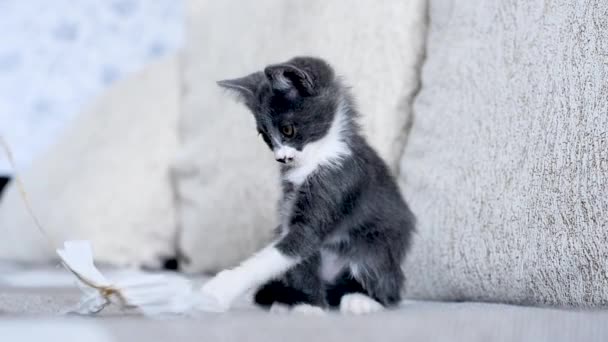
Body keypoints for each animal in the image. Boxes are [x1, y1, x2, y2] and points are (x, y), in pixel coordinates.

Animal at [202, 56, 416, 316]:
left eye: (287, 130)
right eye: (266, 137)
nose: (282, 158)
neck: (317, 157)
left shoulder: (338, 183)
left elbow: (288, 248)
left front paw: (221, 288)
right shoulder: (288, 207)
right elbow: (298, 258)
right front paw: (309, 304)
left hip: (375, 246)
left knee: (385, 283)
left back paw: (362, 300)